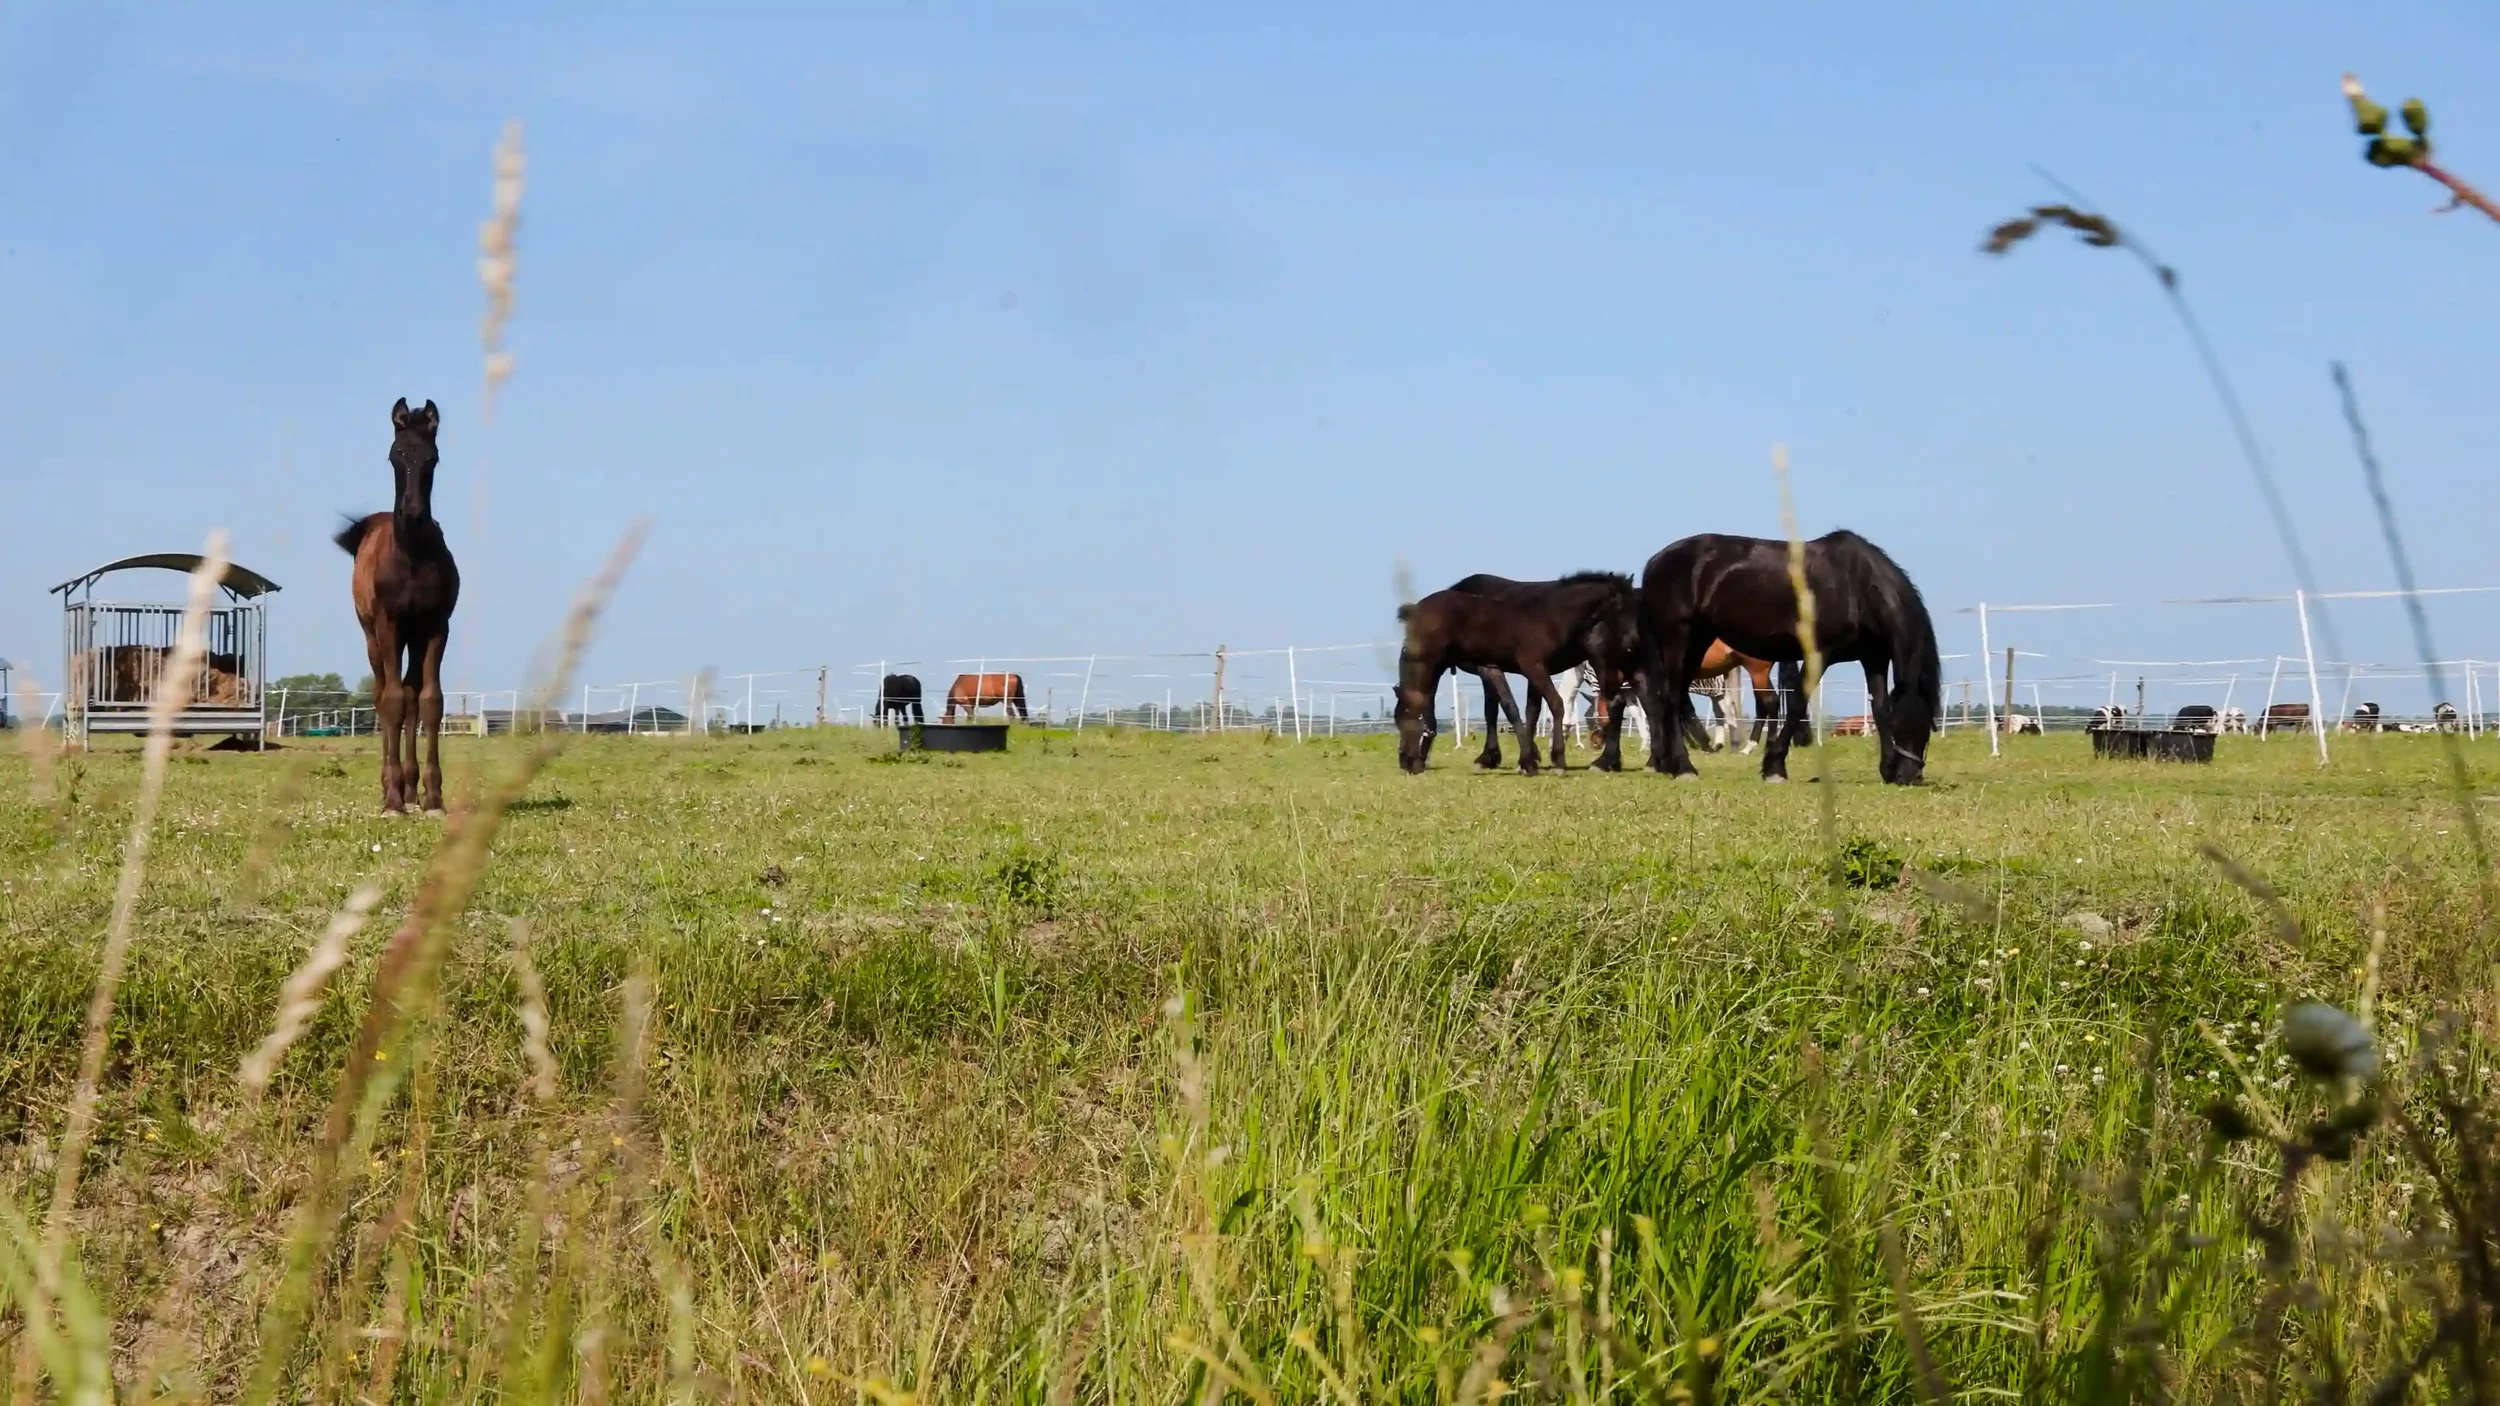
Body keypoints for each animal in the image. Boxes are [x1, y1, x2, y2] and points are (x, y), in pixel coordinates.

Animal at [336, 398, 460, 815]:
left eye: (432, 459)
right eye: (395, 456)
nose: (413, 513)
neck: (412, 558)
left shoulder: (437, 626)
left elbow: (429, 701)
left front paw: (433, 797)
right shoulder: (388, 624)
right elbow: (390, 701)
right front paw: (391, 802)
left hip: (414, 636)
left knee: (409, 694)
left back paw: (410, 788)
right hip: (373, 636)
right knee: (383, 694)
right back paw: (392, 789)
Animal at [1395, 572, 1639, 775]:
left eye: (1630, 609)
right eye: (1622, 609)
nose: (1633, 641)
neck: (1550, 617)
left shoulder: (1518, 668)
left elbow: (1527, 708)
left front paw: (1539, 761)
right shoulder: (1527, 667)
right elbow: (1533, 707)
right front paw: (1541, 761)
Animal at [1622, 530, 1940, 784]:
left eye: (1928, 725)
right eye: (1905, 723)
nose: (1909, 776)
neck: (1856, 586)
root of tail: (1655, 563)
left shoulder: (1874, 659)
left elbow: (1879, 708)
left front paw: (1886, 768)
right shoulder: (1818, 654)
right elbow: (1797, 703)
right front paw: (1774, 768)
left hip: (1697, 644)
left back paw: (1668, 763)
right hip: (1678, 640)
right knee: (1673, 697)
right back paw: (1684, 768)